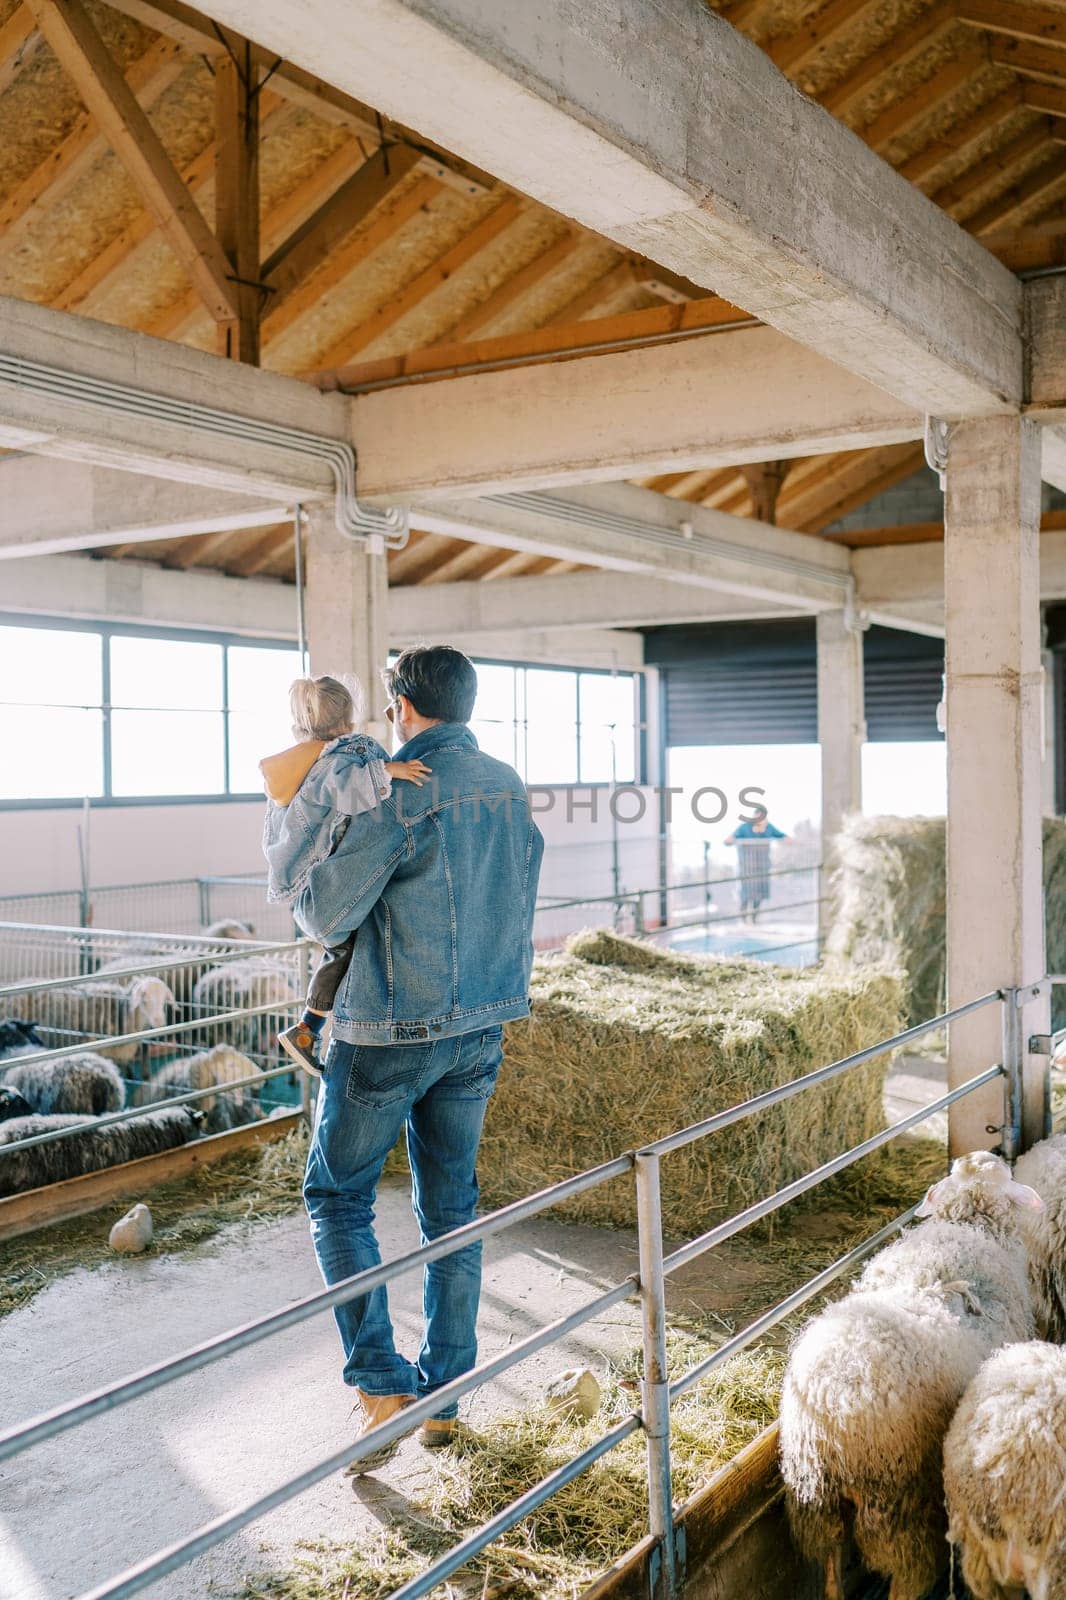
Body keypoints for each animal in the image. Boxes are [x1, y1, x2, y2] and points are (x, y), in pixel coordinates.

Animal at [771, 1152, 1037, 1600]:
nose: (980, 1155)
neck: (970, 1225)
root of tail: (835, 1404)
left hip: (814, 1496)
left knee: (830, 1564)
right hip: (900, 1501)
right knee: (908, 1572)